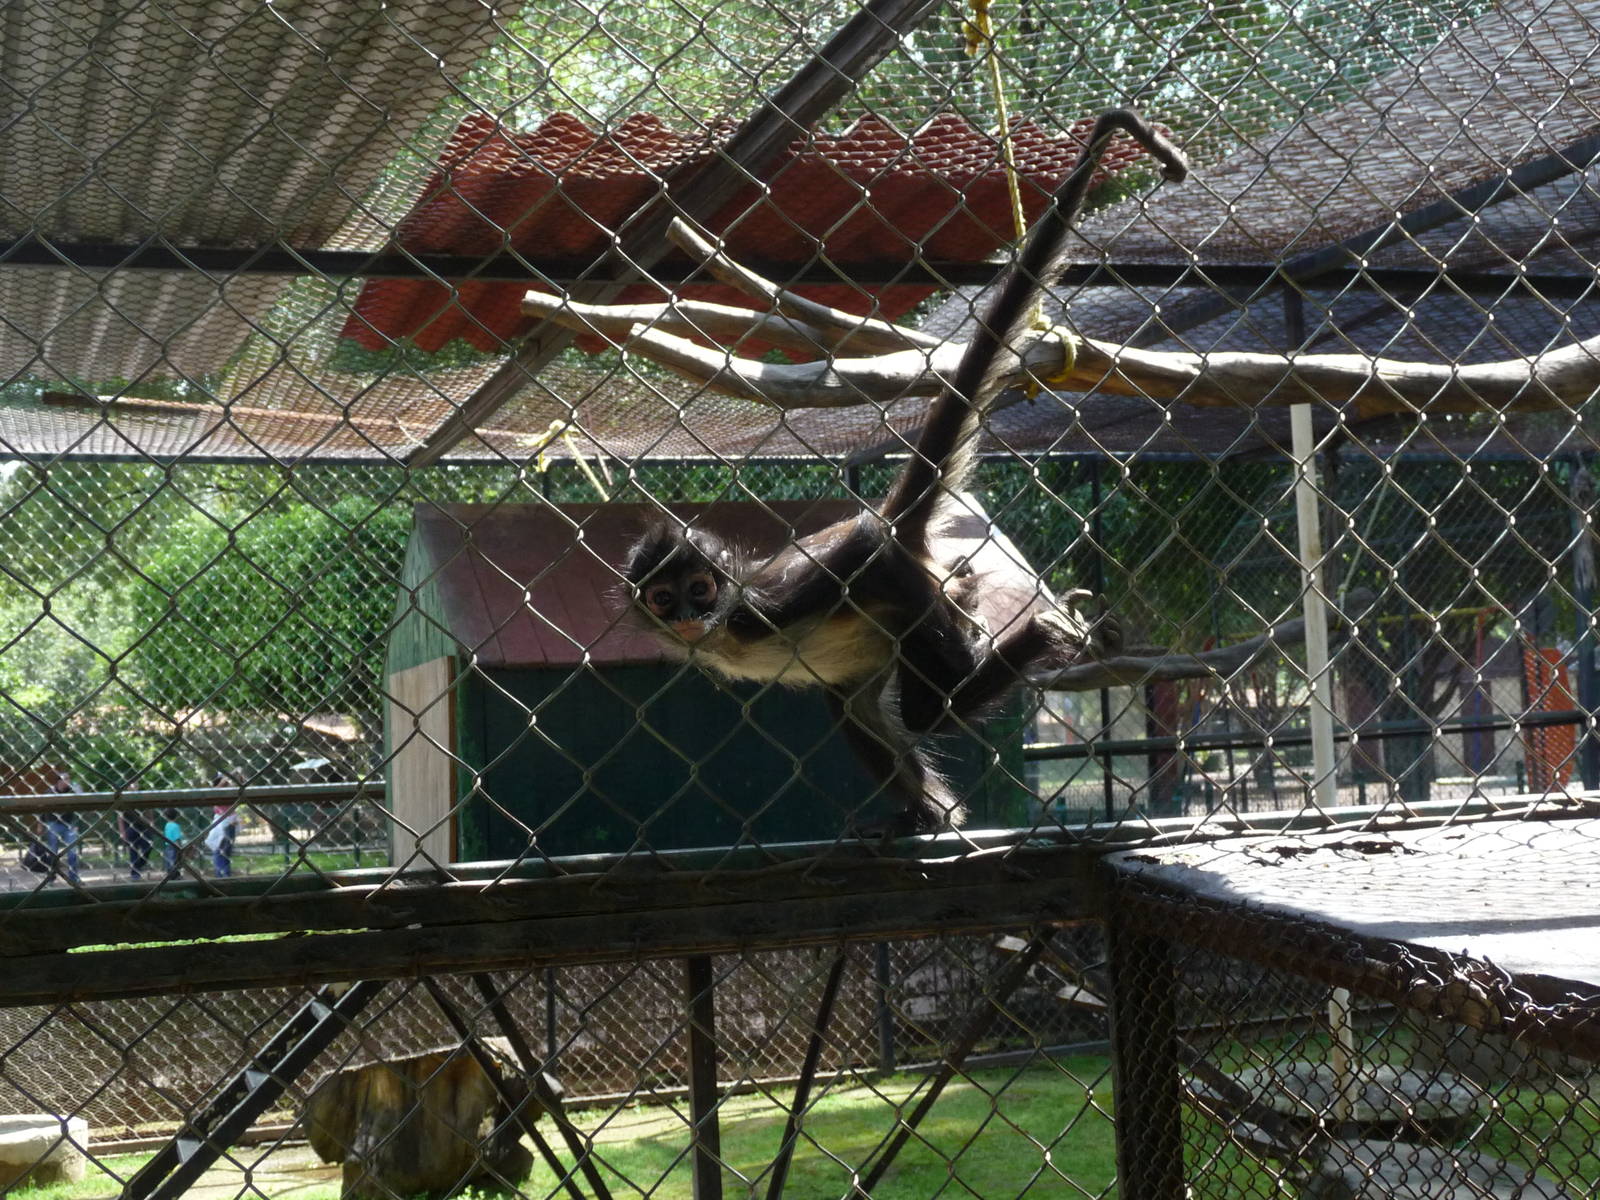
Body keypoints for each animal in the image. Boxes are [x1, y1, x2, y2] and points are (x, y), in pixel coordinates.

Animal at [622, 110, 1188, 834]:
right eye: (664, 600)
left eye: (699, 588)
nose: (691, 616)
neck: (725, 626)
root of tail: (903, 523)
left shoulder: (767, 601)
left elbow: (861, 552)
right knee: (854, 705)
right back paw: (931, 815)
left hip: (911, 596)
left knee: (923, 700)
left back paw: (1034, 640)